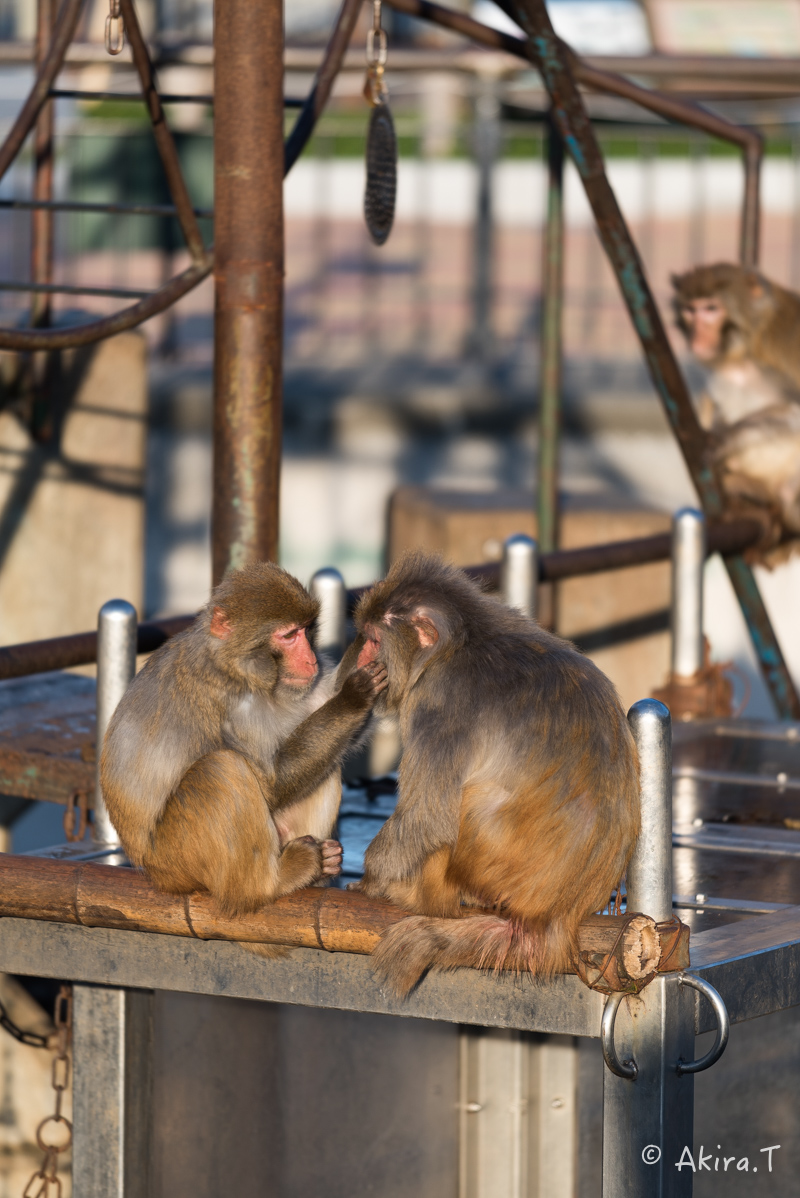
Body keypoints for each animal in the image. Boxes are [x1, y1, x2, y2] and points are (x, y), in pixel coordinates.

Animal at [101, 560, 388, 915]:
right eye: (289, 635)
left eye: (306, 630)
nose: (311, 660)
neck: (235, 666)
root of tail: (152, 873)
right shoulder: (230, 701)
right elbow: (270, 783)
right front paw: (353, 697)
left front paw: (367, 654)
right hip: (178, 858)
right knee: (222, 769)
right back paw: (272, 882)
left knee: (327, 765)